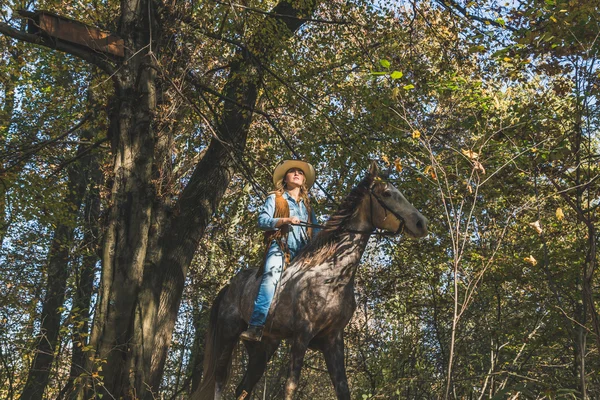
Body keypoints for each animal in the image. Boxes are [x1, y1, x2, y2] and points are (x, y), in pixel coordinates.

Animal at [192, 161, 426, 398]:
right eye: (387, 193)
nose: (421, 223)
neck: (333, 277)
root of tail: (229, 286)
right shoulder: (302, 335)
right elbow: (290, 386)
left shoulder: (333, 340)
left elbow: (343, 389)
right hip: (229, 334)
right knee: (219, 380)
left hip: (266, 344)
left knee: (245, 386)